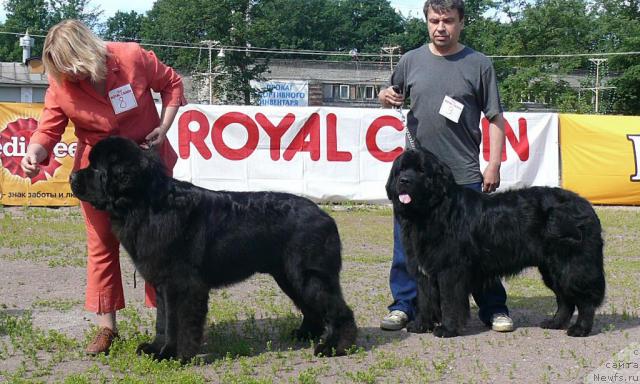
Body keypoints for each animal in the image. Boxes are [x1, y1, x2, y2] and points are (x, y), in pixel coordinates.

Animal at [72, 136, 360, 362]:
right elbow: (162, 321)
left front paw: (173, 354)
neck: (145, 205)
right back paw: (304, 335)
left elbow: (177, 322)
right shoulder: (163, 284)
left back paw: (335, 347)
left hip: (308, 275)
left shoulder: (182, 284)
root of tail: (325, 216)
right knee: (312, 308)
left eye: (96, 168)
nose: (73, 176)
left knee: (339, 310)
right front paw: (156, 348)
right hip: (289, 276)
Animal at [384, 148, 604, 340]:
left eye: (421, 170)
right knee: (565, 298)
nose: (404, 181)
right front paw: (421, 325)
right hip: (551, 268)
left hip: (572, 265)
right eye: (401, 170)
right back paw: (555, 323)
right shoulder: (424, 270)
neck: (431, 211)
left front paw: (447, 329)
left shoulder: (450, 270)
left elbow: (449, 301)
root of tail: (585, 205)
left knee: (584, 299)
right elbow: (425, 299)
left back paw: (580, 329)